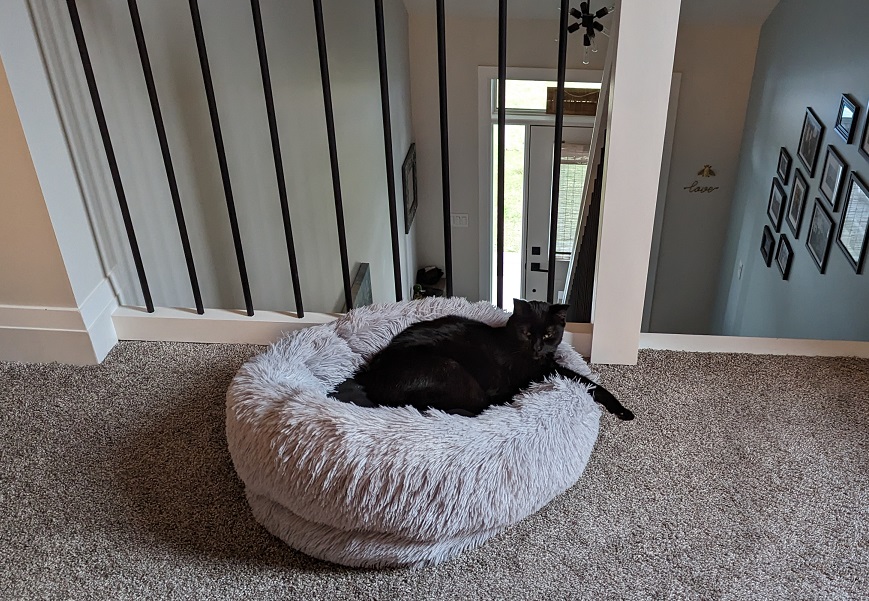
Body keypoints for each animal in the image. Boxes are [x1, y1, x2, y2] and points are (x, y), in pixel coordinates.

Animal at [330, 298, 632, 420]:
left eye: (548, 334)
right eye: (526, 333)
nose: (537, 347)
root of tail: (371, 382)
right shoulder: (542, 372)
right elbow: (588, 382)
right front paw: (624, 411)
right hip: (454, 372)